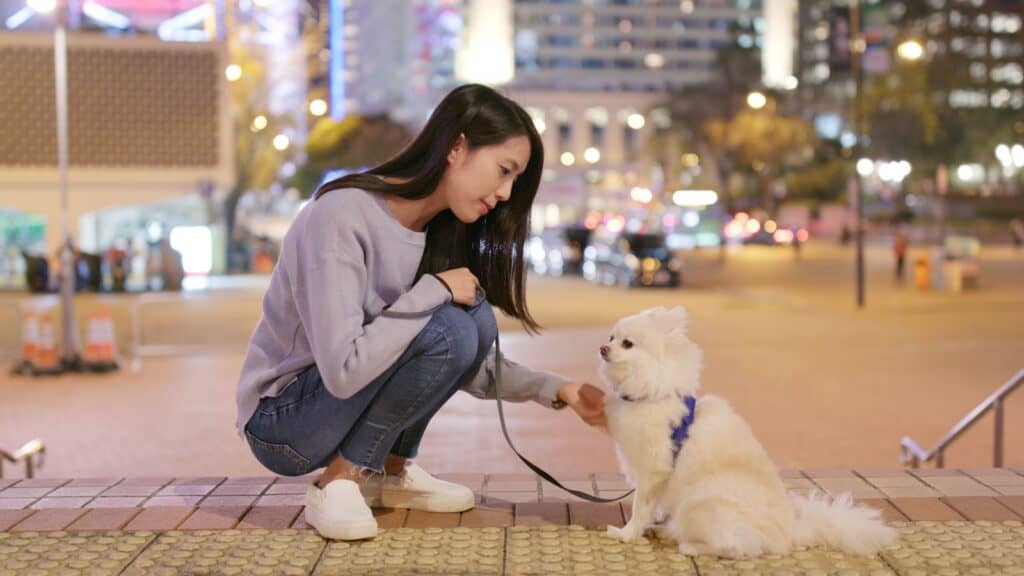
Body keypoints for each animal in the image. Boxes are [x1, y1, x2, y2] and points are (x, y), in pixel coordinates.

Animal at [598, 305, 897, 557]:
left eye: (627, 343)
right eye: (611, 337)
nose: (602, 348)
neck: (652, 393)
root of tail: (789, 534)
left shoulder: (654, 470)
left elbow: (640, 507)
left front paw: (626, 534)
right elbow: (655, 506)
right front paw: (653, 521)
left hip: (701, 504)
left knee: (734, 547)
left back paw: (690, 546)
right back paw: (668, 532)